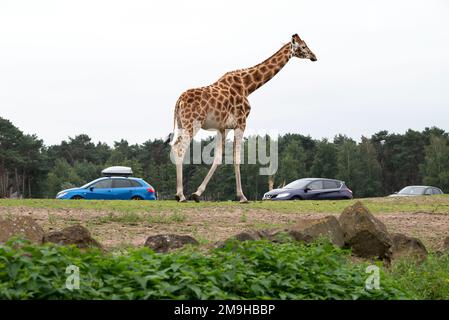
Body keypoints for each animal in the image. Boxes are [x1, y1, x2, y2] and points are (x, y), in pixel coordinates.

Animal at [170, 33, 316, 202]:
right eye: (303, 46)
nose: (314, 56)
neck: (248, 86)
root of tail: (179, 100)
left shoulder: (223, 128)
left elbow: (218, 158)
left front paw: (197, 193)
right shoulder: (241, 122)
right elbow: (237, 157)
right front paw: (242, 196)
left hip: (182, 124)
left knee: (175, 146)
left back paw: (180, 194)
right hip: (193, 123)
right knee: (180, 148)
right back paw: (181, 195)